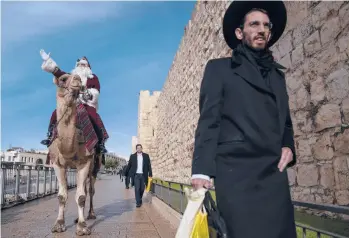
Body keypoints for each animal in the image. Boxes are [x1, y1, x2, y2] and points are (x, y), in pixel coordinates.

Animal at [47, 74, 100, 236]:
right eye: (63, 79)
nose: (77, 79)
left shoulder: (85, 161)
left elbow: (81, 196)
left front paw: (82, 227)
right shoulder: (57, 163)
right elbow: (61, 196)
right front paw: (59, 224)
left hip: (95, 165)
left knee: (90, 189)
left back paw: (91, 214)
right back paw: (77, 218)